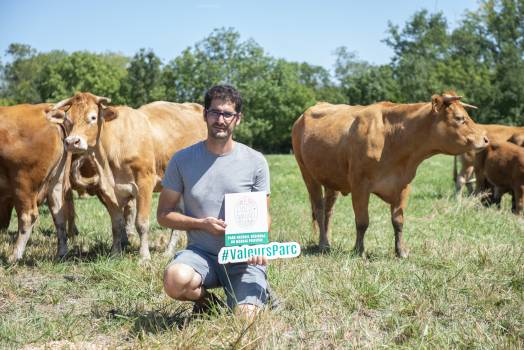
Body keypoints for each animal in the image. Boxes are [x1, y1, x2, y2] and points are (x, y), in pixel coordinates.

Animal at [0, 104, 75, 262]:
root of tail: (44, 109)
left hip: (23, 181)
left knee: (28, 216)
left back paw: (14, 256)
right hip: (55, 183)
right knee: (59, 215)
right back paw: (61, 253)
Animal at [292, 93, 490, 258]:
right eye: (459, 118)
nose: (486, 139)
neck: (393, 138)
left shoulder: (403, 185)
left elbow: (398, 221)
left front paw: (401, 251)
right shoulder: (359, 185)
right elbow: (362, 221)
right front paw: (359, 251)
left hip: (331, 179)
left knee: (329, 210)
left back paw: (327, 241)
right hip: (307, 173)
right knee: (318, 208)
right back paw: (323, 244)